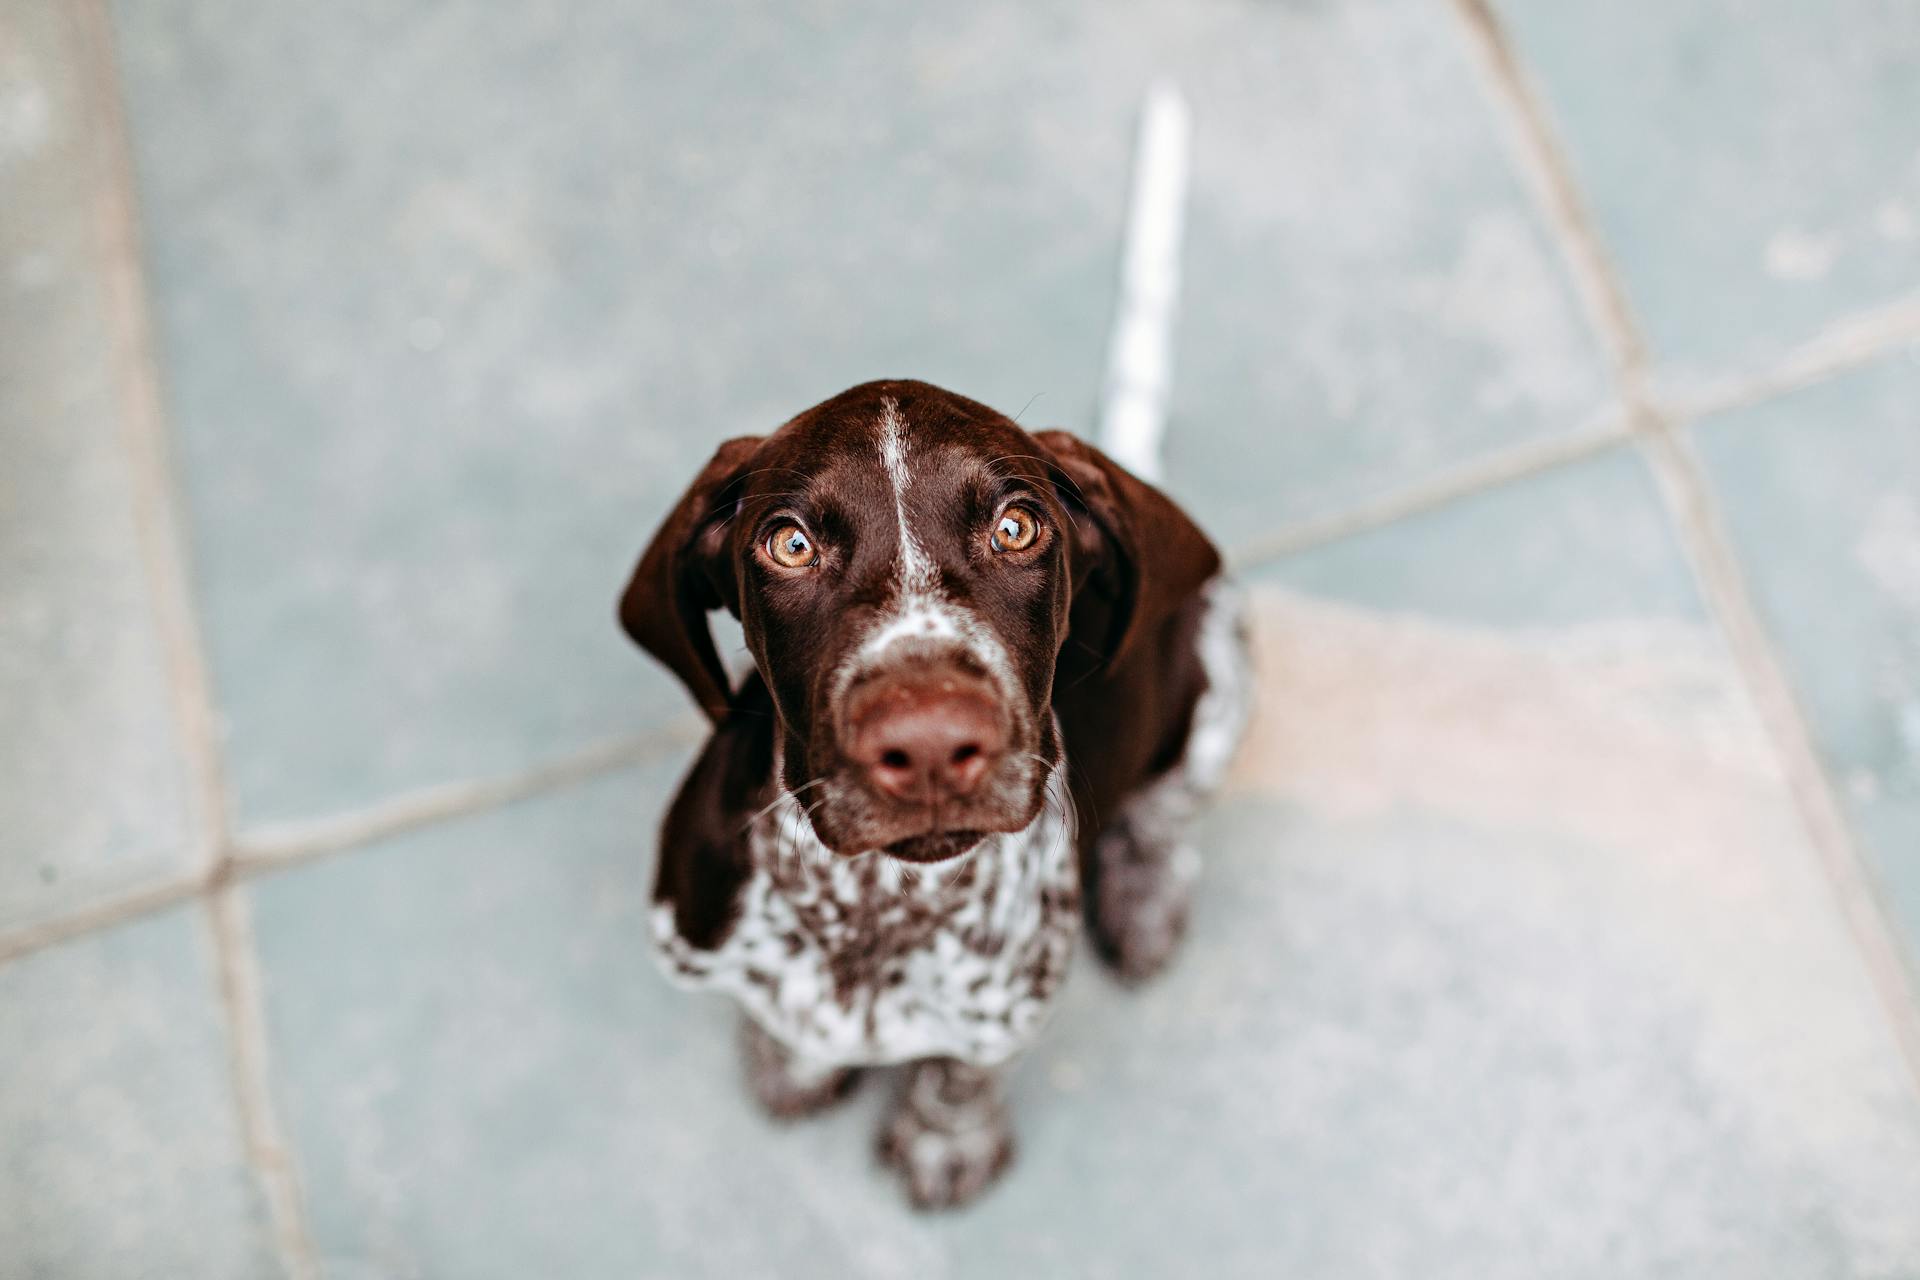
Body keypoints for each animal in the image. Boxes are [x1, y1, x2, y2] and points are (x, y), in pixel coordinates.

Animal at [622, 376, 1251, 1205]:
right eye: (790, 544)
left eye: (1017, 528)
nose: (928, 745)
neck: (872, 904)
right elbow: (780, 1014)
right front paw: (795, 1061)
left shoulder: (1006, 1012)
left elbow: (961, 1077)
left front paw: (944, 1142)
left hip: (1220, 687)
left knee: (1163, 816)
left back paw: (1142, 897)